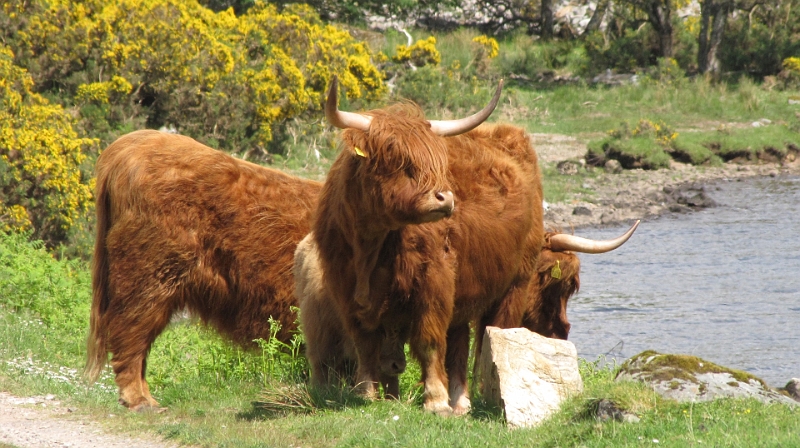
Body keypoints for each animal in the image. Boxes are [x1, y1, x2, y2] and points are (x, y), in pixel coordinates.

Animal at [312, 75, 552, 414]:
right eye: (396, 158)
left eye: (439, 161)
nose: (445, 197)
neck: (370, 247)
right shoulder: (344, 291)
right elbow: (365, 345)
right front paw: (367, 393)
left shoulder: (433, 282)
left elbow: (428, 341)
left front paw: (435, 400)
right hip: (465, 290)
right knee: (459, 344)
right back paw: (461, 402)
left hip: (515, 284)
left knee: (495, 335)